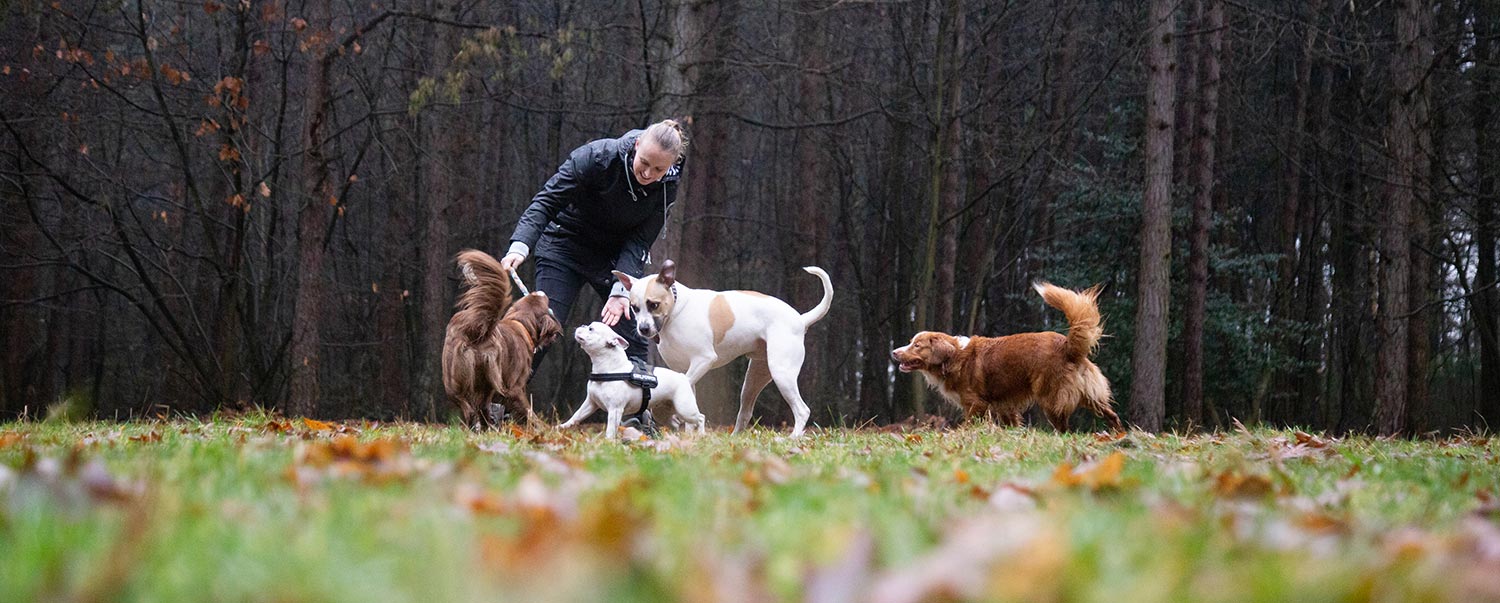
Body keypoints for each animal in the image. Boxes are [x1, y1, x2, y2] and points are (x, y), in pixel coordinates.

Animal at [447, 249, 564, 429]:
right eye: (544, 302)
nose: (540, 292)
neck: (521, 324)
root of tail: (478, 329)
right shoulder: (515, 387)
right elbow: (528, 411)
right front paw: (542, 428)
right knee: (474, 408)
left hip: (461, 381)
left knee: (472, 407)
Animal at [558, 321, 708, 438]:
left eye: (591, 329)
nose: (582, 325)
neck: (611, 367)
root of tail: (683, 377)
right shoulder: (590, 403)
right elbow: (577, 415)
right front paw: (563, 426)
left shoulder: (615, 410)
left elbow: (610, 429)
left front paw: (608, 442)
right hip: (662, 412)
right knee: (675, 423)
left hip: (685, 409)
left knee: (700, 418)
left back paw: (701, 435)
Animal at [615, 261, 840, 435]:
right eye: (634, 308)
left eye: (653, 304)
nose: (643, 329)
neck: (677, 309)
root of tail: (800, 320)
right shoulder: (684, 371)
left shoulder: (703, 360)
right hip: (754, 379)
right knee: (745, 412)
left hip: (782, 373)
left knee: (802, 410)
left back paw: (791, 439)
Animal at [888, 283, 1116, 432]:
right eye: (911, 342)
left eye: (917, 345)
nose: (894, 352)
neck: (953, 357)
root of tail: (1067, 345)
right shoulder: (1004, 405)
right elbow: (1010, 424)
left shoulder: (976, 404)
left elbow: (968, 424)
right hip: (1089, 395)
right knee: (1111, 414)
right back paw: (1117, 434)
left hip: (1051, 399)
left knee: (1064, 428)